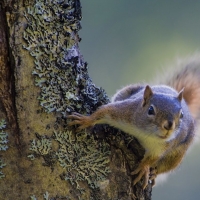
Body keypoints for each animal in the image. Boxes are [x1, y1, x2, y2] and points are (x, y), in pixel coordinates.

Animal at [68, 55, 200, 189]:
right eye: (150, 110)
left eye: (181, 114)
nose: (169, 125)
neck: (147, 134)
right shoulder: (126, 112)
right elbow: (105, 111)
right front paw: (86, 120)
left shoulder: (162, 147)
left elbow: (152, 158)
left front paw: (144, 168)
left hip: (177, 155)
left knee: (164, 166)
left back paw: (154, 173)